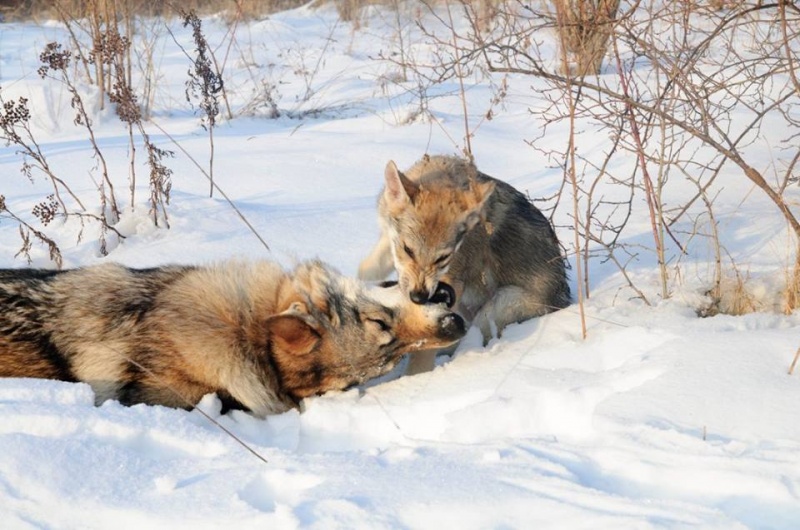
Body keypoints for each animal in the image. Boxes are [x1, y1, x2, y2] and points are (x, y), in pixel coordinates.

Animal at [356, 155, 568, 372]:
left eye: (443, 258)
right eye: (408, 250)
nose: (419, 297)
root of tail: (564, 301)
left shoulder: (452, 283)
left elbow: (424, 351)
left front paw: (416, 377)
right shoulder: (386, 241)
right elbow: (366, 270)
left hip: (496, 305)